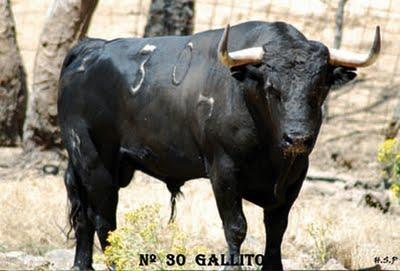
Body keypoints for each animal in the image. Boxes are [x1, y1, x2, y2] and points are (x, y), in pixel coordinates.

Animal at [57, 21, 380, 270]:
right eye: (271, 88)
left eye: (321, 87)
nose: (298, 138)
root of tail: (91, 48)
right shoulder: (223, 171)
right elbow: (236, 226)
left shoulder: (296, 174)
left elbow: (277, 228)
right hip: (93, 160)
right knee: (103, 221)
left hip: (97, 166)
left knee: (84, 217)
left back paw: (81, 265)